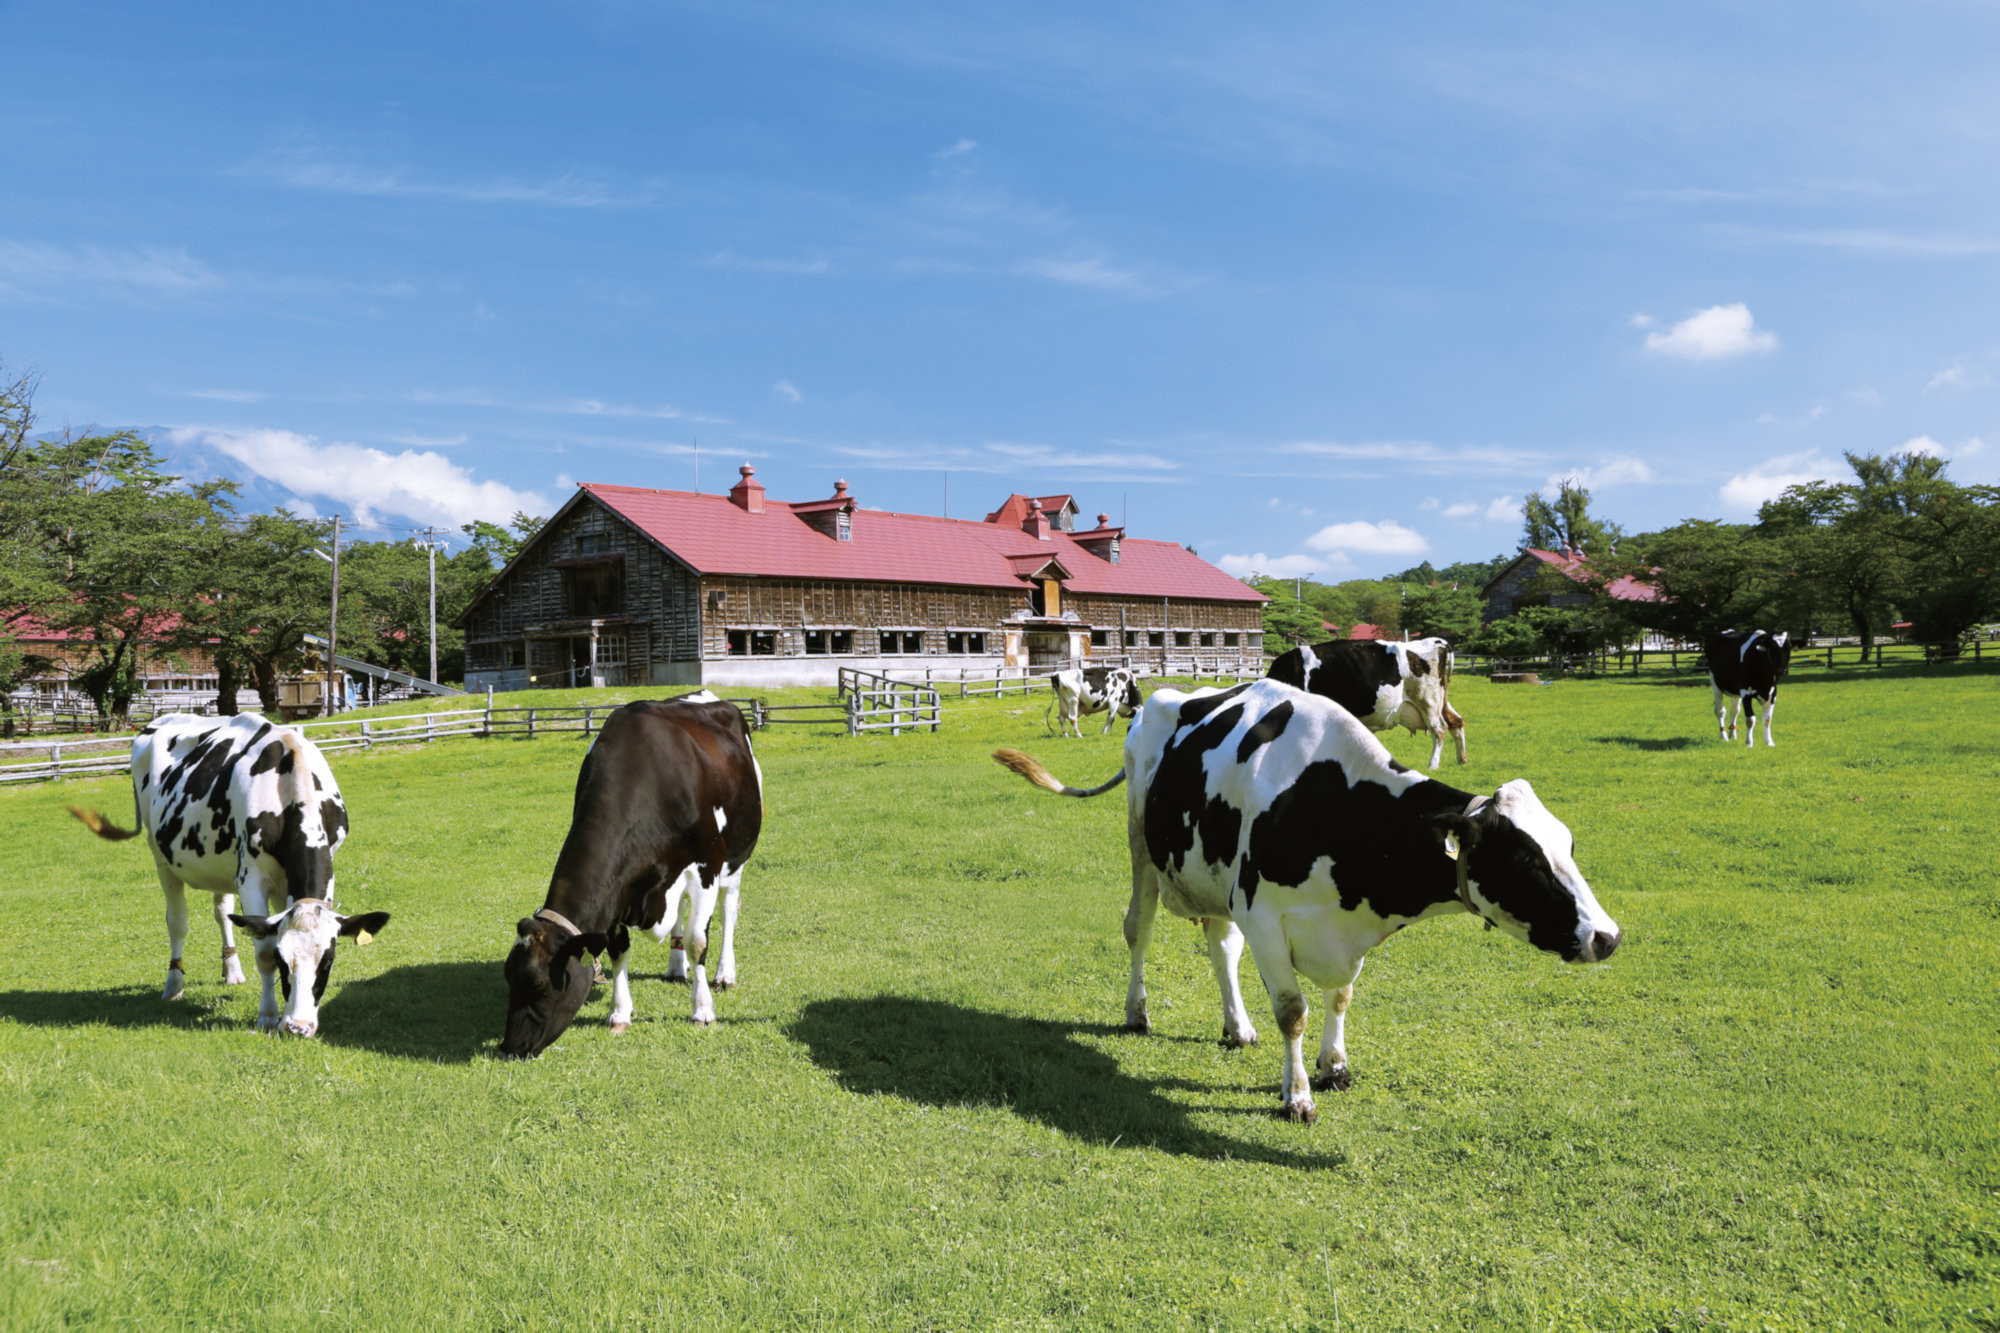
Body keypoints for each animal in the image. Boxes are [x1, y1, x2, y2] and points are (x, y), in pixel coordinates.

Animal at [68, 712, 388, 1032]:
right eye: (282, 959)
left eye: (328, 960)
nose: (298, 1026)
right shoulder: (251, 877)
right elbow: (263, 947)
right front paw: (268, 1016)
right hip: (160, 855)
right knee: (177, 921)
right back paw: (174, 984)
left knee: (223, 912)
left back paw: (231, 969)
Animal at [500, 688, 764, 1056]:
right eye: (508, 976)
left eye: (538, 982)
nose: (509, 1046)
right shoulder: (619, 890)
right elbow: (618, 949)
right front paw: (620, 1013)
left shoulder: (706, 867)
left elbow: (698, 941)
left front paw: (702, 1011)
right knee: (680, 913)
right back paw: (675, 967)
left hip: (737, 859)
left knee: (728, 911)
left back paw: (725, 973)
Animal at [992, 676, 1616, 1120]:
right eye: (1525, 859)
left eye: (1570, 845)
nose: (1606, 937)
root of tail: (1159, 698)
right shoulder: (1265, 916)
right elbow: (1293, 1012)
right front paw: (1297, 1098)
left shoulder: (1331, 929)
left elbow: (1339, 998)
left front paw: (1334, 1067)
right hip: (1144, 851)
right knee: (1138, 930)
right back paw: (1137, 1012)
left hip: (1215, 877)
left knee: (1221, 947)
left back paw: (1237, 1026)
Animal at [1264, 636, 1472, 768]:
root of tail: (1437, 642)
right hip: (1440, 700)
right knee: (1457, 722)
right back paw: (1462, 760)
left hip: (1427, 700)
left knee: (1440, 729)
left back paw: (1433, 766)